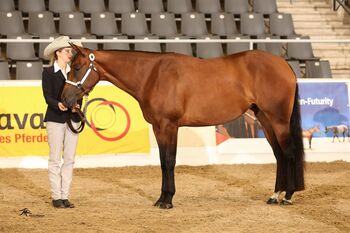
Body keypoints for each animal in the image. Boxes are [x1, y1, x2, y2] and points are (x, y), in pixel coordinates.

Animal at [61, 44, 304, 208]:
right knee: (279, 155)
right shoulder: (159, 128)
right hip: (265, 119)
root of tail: (284, 64)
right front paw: (161, 198)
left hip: (279, 121)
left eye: (78, 67)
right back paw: (274, 195)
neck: (152, 75)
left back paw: (288, 196)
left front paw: (167, 201)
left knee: (289, 153)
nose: (65, 99)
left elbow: (169, 161)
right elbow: (162, 162)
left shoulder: (169, 125)